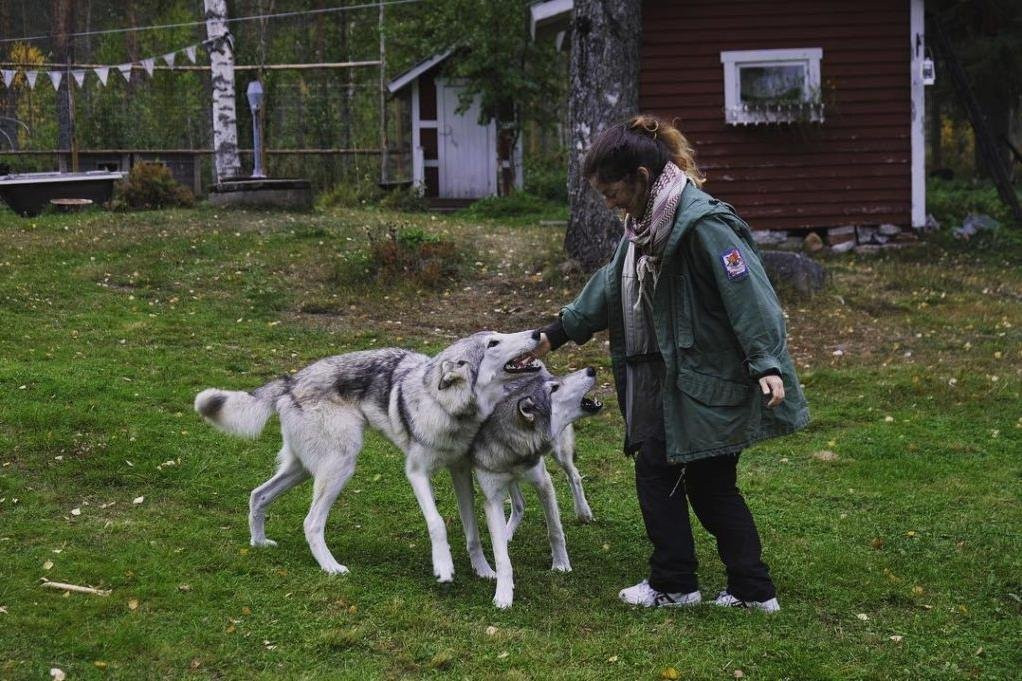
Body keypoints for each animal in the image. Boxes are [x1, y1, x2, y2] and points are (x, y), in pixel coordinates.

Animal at [193, 327, 543, 576]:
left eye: (499, 334)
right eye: (493, 343)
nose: (539, 332)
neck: (446, 406)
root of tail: (291, 381)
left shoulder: (460, 474)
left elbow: (472, 533)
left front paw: (484, 571)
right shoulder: (416, 473)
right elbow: (437, 523)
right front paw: (443, 568)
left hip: (304, 469)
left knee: (258, 495)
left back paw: (259, 542)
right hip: (340, 467)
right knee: (311, 523)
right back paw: (331, 567)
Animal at [468, 366, 600, 605]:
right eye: (554, 388)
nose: (591, 369)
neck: (512, 445)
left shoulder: (543, 483)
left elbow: (555, 532)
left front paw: (561, 565)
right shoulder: (492, 500)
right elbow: (501, 556)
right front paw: (503, 594)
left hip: (560, 455)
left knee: (575, 476)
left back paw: (584, 512)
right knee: (519, 504)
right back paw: (507, 532)